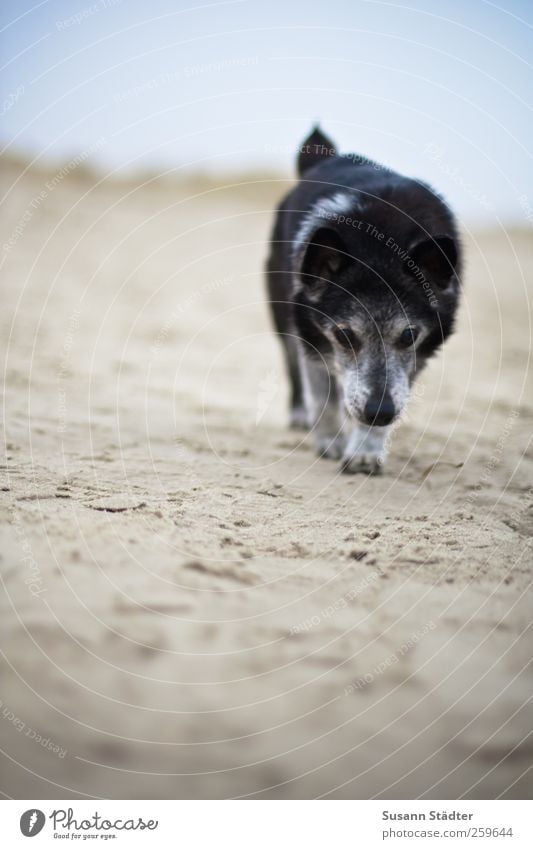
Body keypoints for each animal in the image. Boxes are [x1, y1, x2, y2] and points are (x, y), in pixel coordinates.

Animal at [266, 126, 462, 474]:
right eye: (344, 335)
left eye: (409, 336)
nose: (379, 413)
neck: (379, 253)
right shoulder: (312, 336)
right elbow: (324, 397)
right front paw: (330, 442)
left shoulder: (415, 358)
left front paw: (365, 450)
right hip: (281, 314)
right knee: (293, 366)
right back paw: (301, 414)